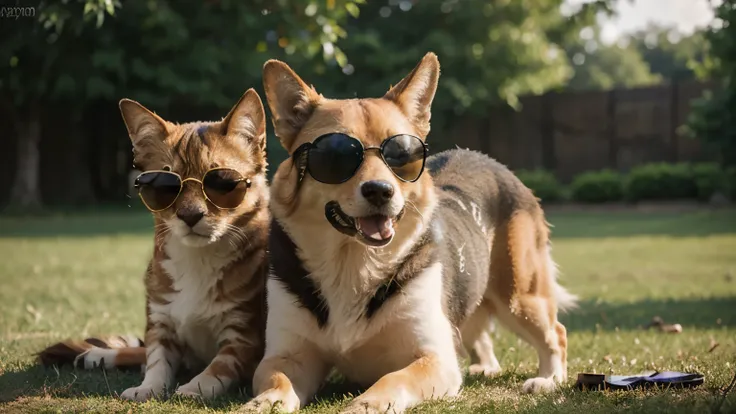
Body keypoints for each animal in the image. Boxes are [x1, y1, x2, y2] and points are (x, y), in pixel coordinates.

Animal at [244, 52, 576, 414]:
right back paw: (486, 366)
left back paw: (549, 379)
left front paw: (366, 404)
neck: (353, 263)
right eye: (335, 155)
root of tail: (490, 161)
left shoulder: (434, 358)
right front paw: (264, 402)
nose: (380, 191)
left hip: (520, 296)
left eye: (401, 154)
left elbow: (393, 379)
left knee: (556, 333)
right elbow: (278, 382)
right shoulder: (288, 356)